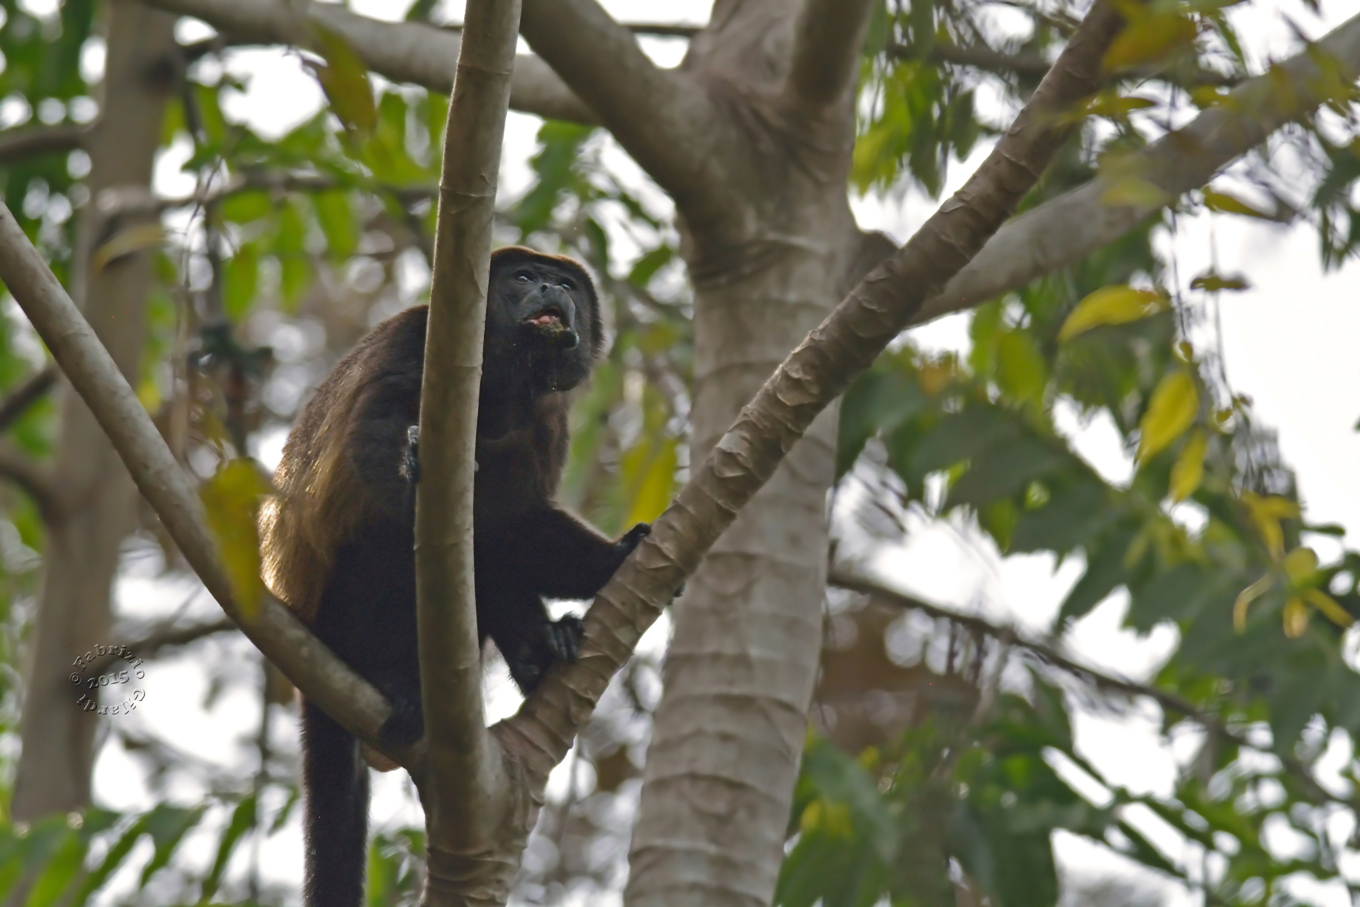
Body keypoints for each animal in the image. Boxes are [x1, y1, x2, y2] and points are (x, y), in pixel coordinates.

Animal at [258, 247, 650, 907]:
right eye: (523, 278)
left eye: (566, 285)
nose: (549, 287)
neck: (500, 382)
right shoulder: (417, 339)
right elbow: (376, 434)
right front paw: (411, 468)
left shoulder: (548, 418)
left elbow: (518, 522)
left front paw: (614, 559)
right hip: (338, 611)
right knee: (388, 538)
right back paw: (390, 675)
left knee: (488, 550)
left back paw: (539, 652)